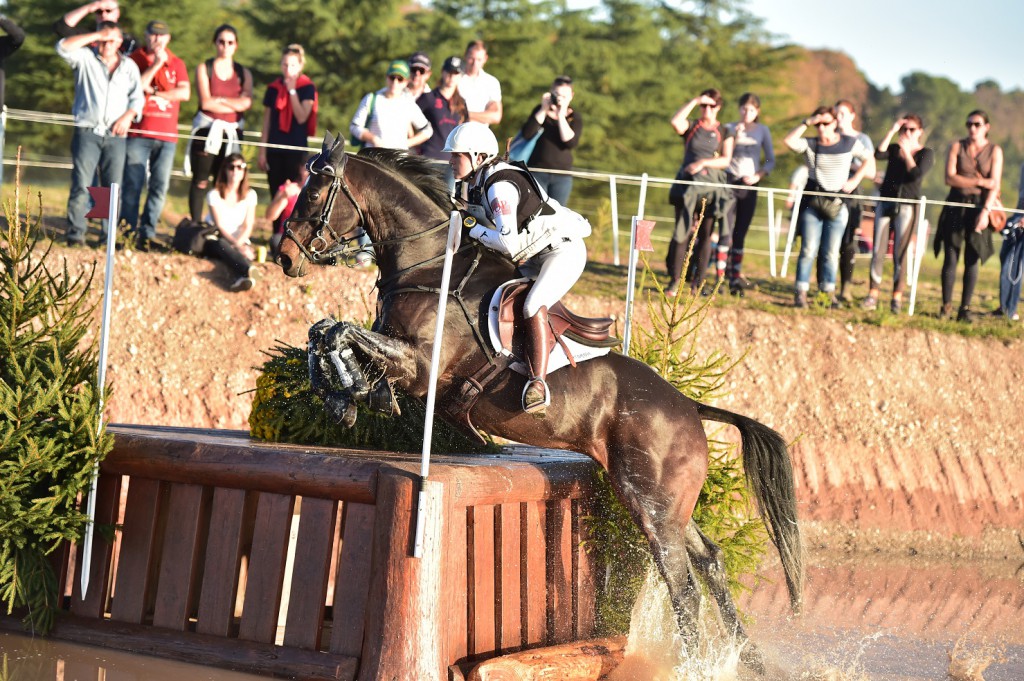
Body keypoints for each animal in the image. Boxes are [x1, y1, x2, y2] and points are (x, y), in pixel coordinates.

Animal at [276, 134, 802, 667]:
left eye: (314, 194)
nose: (284, 257)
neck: (429, 263)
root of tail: (689, 407)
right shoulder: (396, 353)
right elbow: (325, 331)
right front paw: (344, 396)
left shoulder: (422, 367)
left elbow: (339, 332)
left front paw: (352, 394)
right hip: (668, 500)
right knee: (710, 560)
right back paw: (747, 661)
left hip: (649, 500)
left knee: (683, 585)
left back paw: (692, 667)